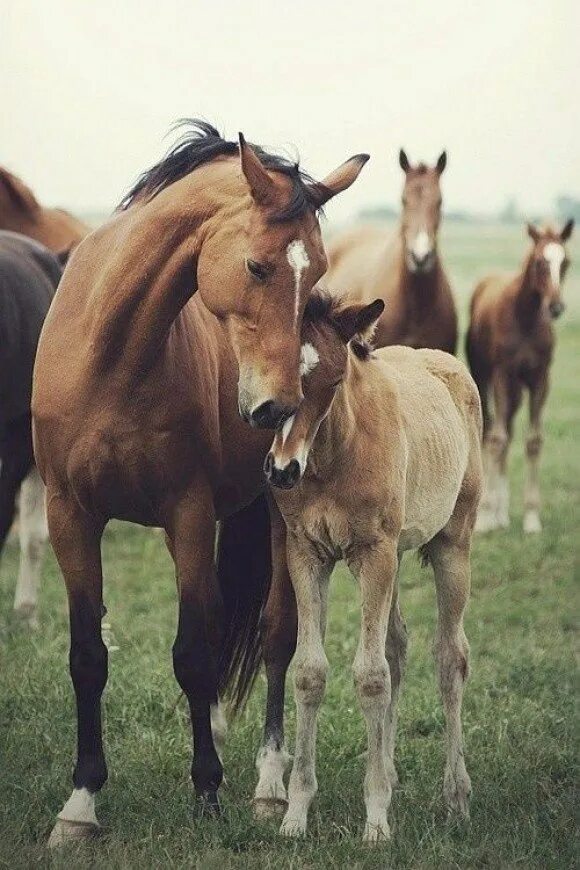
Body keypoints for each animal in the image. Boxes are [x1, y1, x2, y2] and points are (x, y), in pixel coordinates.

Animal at [31, 119, 368, 848]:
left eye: (316, 273)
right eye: (257, 266)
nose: (276, 408)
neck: (114, 355)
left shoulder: (187, 516)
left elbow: (193, 652)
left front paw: (208, 791)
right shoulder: (69, 515)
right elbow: (87, 656)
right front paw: (79, 804)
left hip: (273, 515)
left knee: (274, 639)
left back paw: (269, 786)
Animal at [262, 294, 480, 844]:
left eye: (334, 380)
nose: (282, 470)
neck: (332, 456)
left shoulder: (374, 553)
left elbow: (371, 676)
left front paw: (376, 820)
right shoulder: (306, 554)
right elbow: (311, 672)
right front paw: (296, 813)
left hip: (452, 544)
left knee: (450, 657)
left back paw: (456, 795)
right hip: (398, 555)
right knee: (397, 645)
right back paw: (390, 767)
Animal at [466, 218, 572, 536]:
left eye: (566, 262)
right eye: (539, 262)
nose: (556, 307)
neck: (524, 318)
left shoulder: (540, 379)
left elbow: (533, 440)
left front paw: (531, 517)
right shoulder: (502, 374)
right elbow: (496, 438)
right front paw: (486, 516)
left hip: (516, 389)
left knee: (510, 431)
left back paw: (503, 513)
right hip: (486, 378)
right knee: (492, 430)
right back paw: (494, 512)